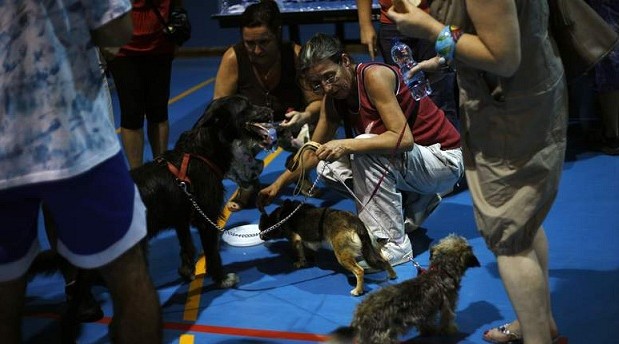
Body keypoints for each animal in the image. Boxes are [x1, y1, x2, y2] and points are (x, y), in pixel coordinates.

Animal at [133, 94, 276, 288]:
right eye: (245, 106)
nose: (271, 109)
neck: (202, 152)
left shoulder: (182, 218)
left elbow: (187, 244)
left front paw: (186, 271)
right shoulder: (206, 218)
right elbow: (212, 252)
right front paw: (222, 278)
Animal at [258, 200, 398, 296]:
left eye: (261, 229)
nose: (259, 235)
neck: (281, 216)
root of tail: (354, 221)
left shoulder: (295, 239)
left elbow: (300, 253)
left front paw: (300, 263)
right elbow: (308, 250)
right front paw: (310, 259)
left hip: (342, 256)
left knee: (359, 271)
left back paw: (357, 290)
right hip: (371, 247)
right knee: (384, 261)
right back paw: (392, 276)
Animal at [330, 234, 480, 344]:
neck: (441, 270)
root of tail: (361, 313)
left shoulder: (426, 312)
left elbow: (427, 323)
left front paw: (428, 331)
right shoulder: (448, 305)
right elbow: (447, 320)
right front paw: (450, 331)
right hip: (382, 338)